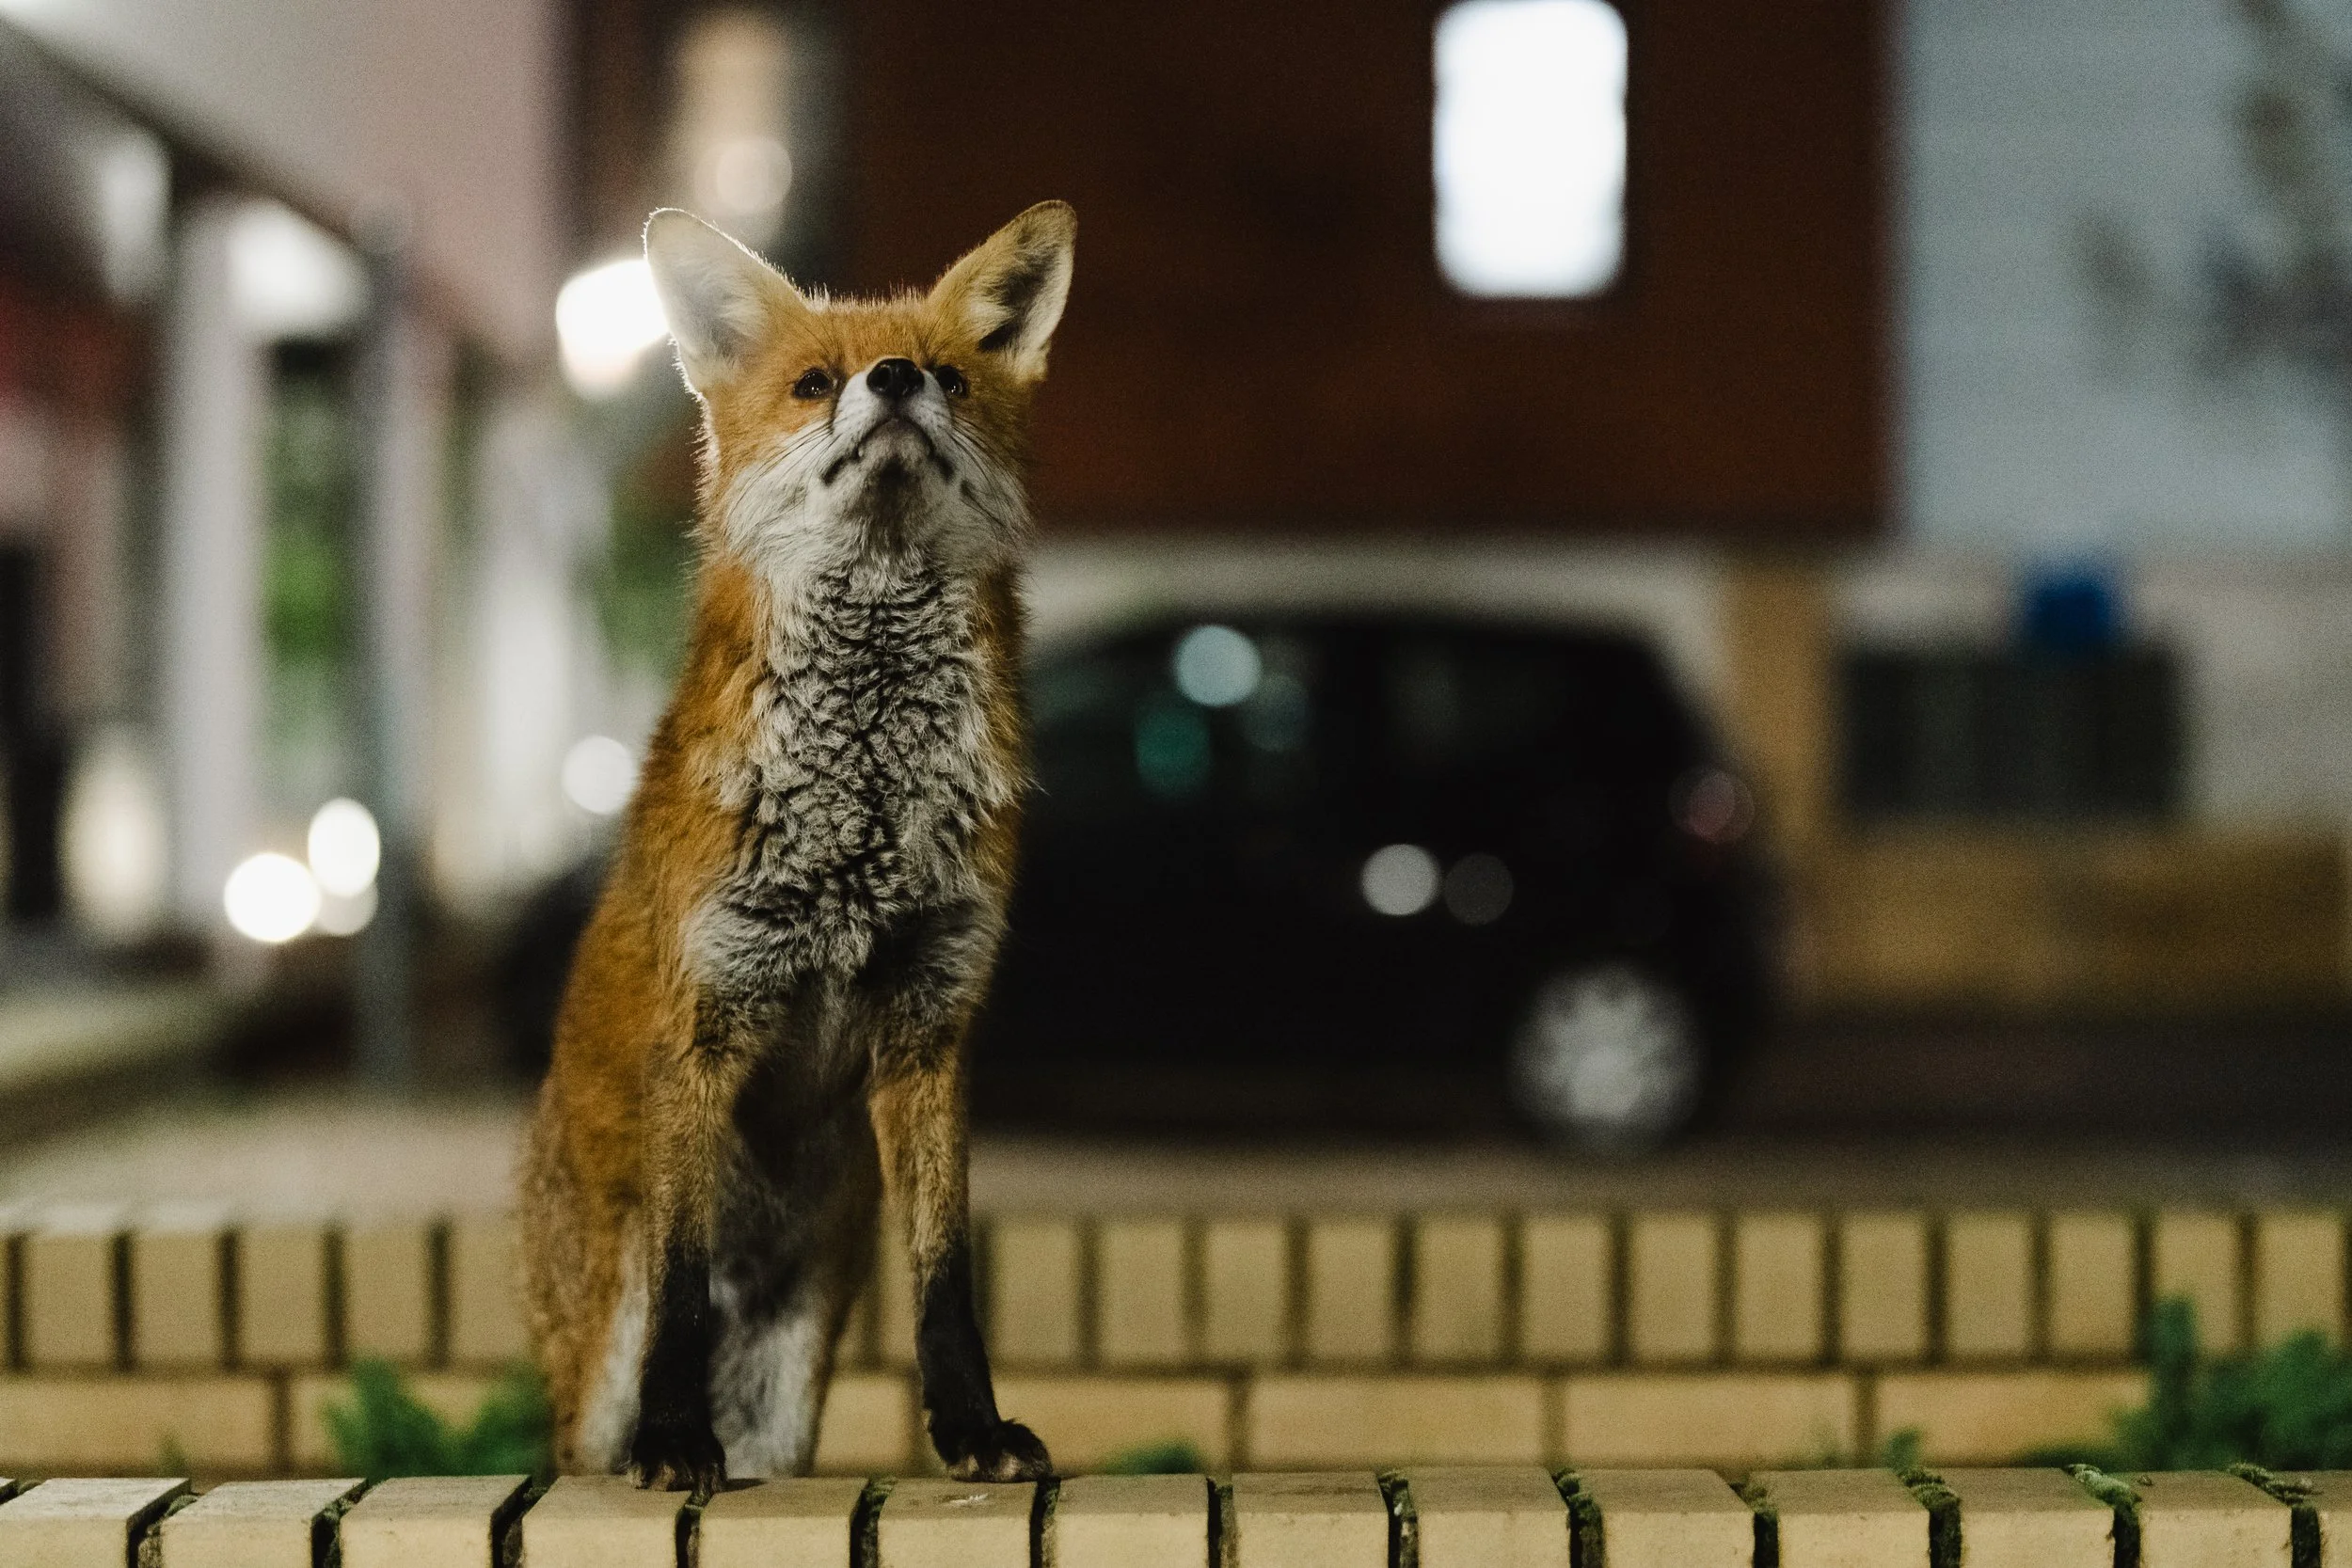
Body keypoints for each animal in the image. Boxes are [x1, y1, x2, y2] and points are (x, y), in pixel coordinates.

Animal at [520, 202, 1074, 1490]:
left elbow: (946, 1278)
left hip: (786, 1392)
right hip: (596, 1375)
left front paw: (972, 1427)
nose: (895, 378)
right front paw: (677, 1441)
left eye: (953, 378)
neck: (861, 809)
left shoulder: (930, 1024)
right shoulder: (706, 1022)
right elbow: (680, 1285)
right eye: (815, 381)